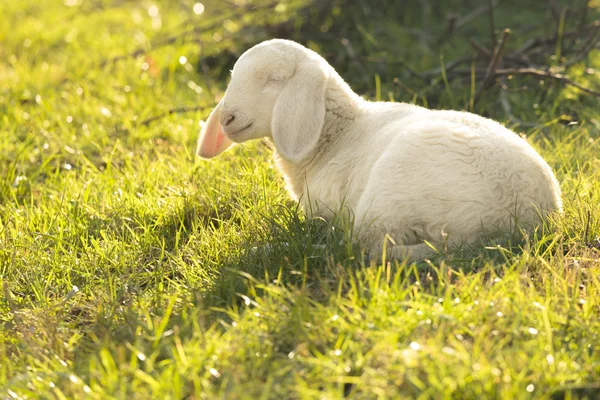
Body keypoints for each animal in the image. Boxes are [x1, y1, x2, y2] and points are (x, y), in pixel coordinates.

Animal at [197, 39, 564, 260]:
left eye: (274, 79)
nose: (227, 118)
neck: (337, 134)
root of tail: (519, 222)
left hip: (390, 199)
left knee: (366, 245)